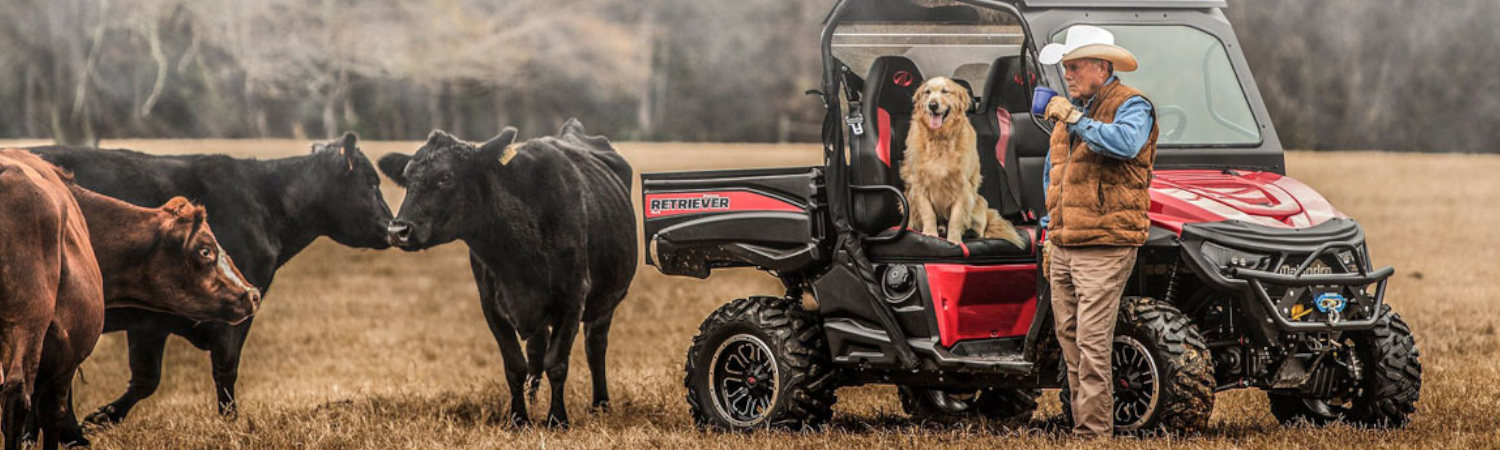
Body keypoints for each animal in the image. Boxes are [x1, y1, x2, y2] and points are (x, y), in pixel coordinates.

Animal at [0, 149, 261, 447]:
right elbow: (51, 412)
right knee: (18, 396)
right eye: (205, 250)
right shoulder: (65, 349)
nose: (252, 294)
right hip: (29, 325)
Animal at [30, 132, 393, 429]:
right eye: (371, 183)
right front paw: (231, 423)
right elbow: (225, 370)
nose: (396, 228)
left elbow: (147, 378)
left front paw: (102, 417)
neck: (267, 203)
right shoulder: (231, 317)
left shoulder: (151, 323)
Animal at [378, 117, 636, 426]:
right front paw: (520, 419)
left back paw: (600, 404)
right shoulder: (491, 304)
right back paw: (534, 400)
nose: (398, 230)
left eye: (446, 178)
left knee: (594, 347)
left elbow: (557, 362)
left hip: (605, 303)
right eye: (407, 179)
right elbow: (515, 365)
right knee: (536, 350)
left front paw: (557, 419)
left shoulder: (573, 298)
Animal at [894, 76, 1026, 246]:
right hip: (908, 201)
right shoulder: (919, 184)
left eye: (945, 91)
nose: (932, 105)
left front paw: (954, 241)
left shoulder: (962, 187)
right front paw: (930, 234)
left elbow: (956, 219)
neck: (939, 138)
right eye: (927, 92)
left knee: (979, 229)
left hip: (978, 202)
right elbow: (928, 213)